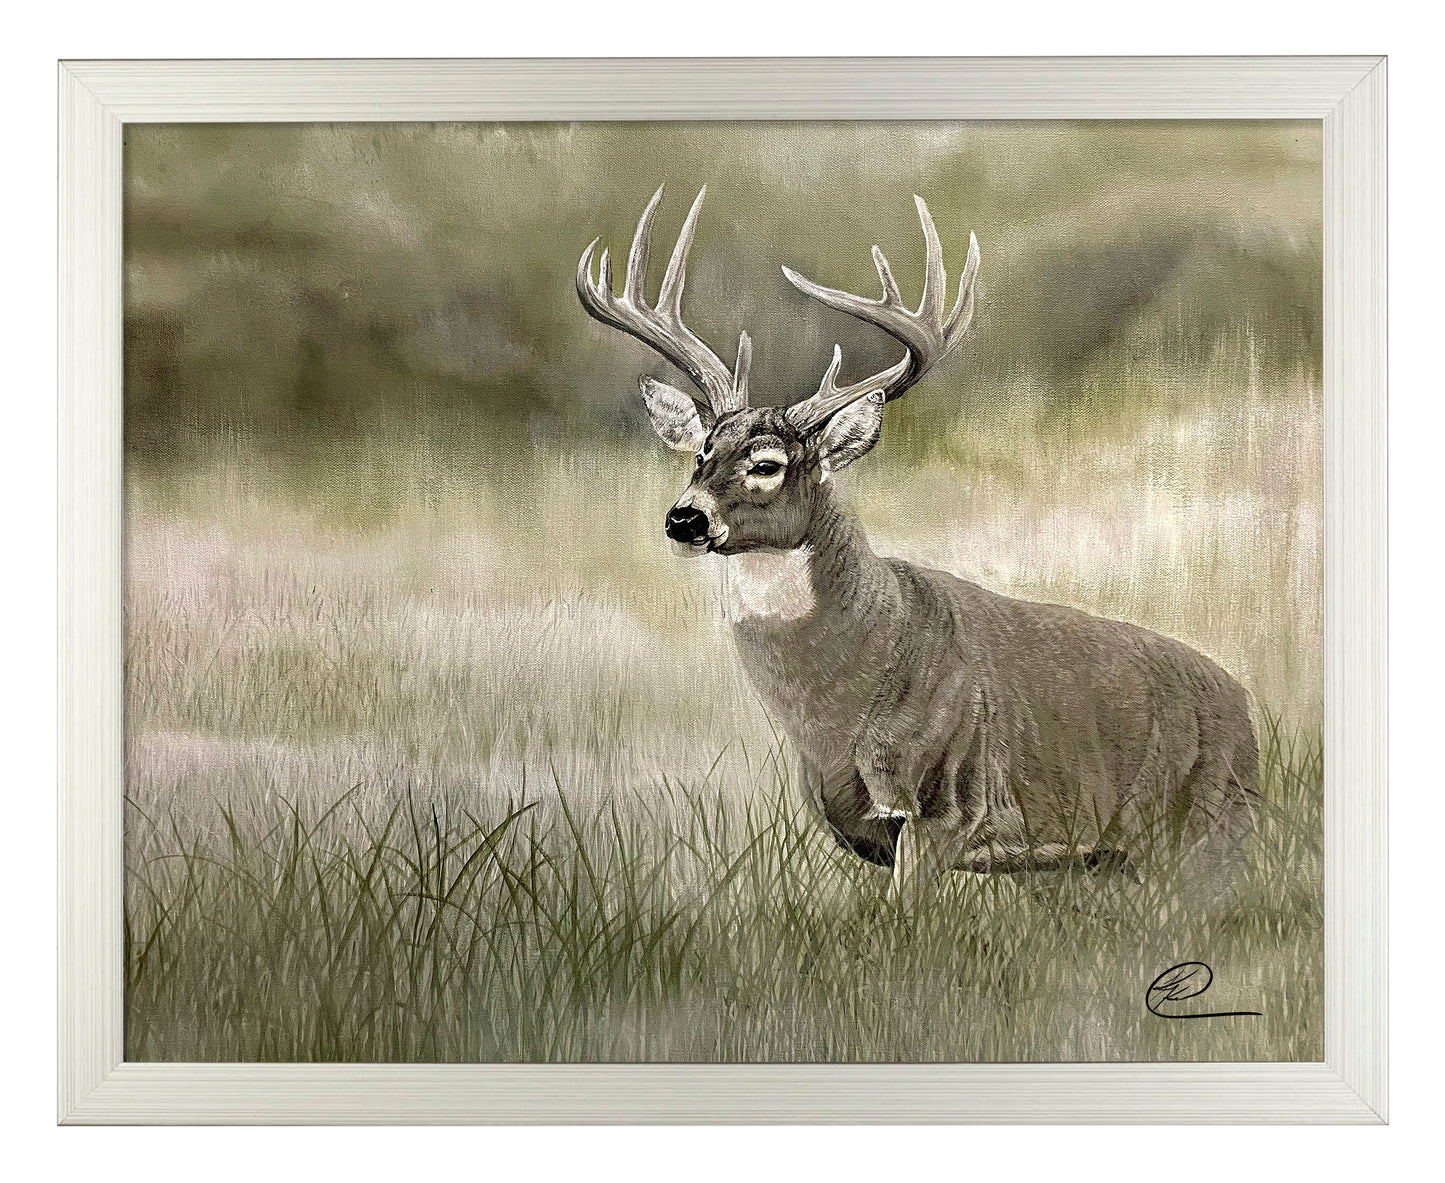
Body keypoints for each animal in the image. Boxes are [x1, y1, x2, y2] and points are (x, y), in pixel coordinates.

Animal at [577, 185, 1259, 906]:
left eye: (766, 463)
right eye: (700, 454)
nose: (684, 519)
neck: (836, 711)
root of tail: (1246, 708)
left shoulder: (945, 803)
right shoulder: (864, 830)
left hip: (1211, 829)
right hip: (1101, 859)